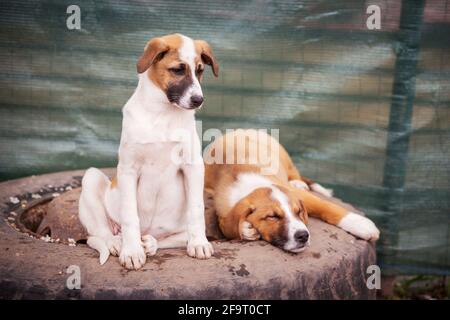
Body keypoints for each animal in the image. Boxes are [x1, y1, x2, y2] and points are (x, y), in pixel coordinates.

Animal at [204, 128, 380, 252]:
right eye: (272, 217)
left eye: (298, 212)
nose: (303, 235)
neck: (250, 185)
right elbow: (225, 225)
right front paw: (246, 229)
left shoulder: (297, 194)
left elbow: (326, 206)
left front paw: (361, 224)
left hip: (283, 156)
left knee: (295, 173)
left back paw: (298, 182)